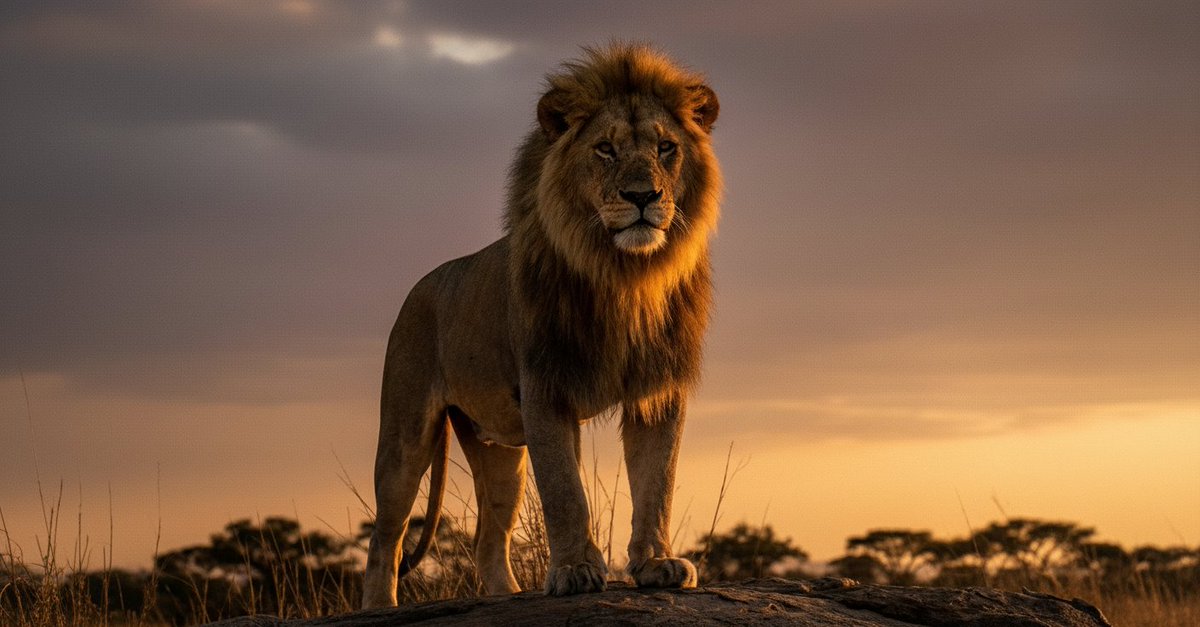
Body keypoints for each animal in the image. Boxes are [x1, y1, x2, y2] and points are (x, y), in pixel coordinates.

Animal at [361, 43, 721, 608]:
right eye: (605, 150)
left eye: (666, 148)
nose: (643, 196)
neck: (624, 275)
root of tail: (421, 284)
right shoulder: (547, 387)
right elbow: (565, 493)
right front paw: (574, 570)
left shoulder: (656, 389)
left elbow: (656, 482)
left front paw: (656, 564)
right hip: (405, 435)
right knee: (385, 537)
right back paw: (380, 606)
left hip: (499, 452)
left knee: (488, 539)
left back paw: (505, 598)